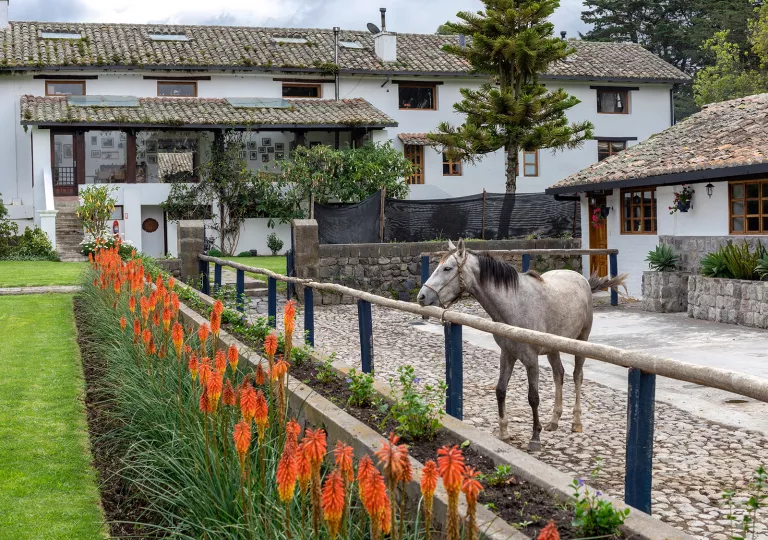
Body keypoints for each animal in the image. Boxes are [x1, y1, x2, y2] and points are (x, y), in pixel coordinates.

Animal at [417, 239, 627, 451]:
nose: (422, 296)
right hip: (553, 347)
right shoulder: (507, 354)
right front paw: (504, 432)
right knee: (559, 374)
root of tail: (581, 279)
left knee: (577, 376)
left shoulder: (531, 360)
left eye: (447, 268)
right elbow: (500, 390)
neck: (515, 304)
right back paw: (554, 420)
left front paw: (535, 438)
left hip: (581, 341)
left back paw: (576, 422)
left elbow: (533, 397)